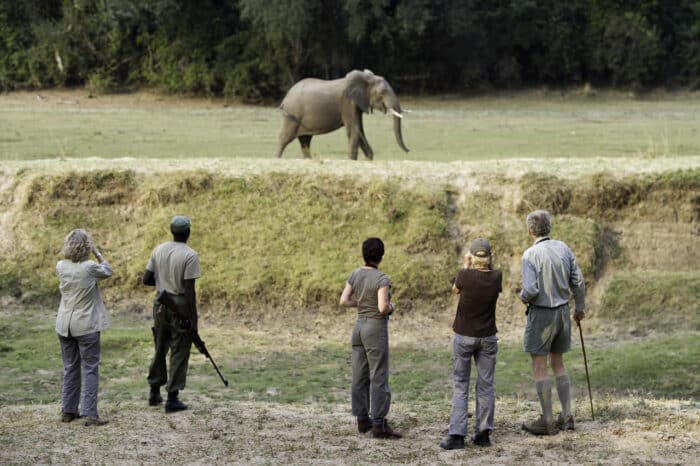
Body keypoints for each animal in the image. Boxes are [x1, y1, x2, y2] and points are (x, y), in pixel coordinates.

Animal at [274, 69, 410, 160]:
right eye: (382, 92)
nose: (408, 151)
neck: (365, 78)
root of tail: (286, 98)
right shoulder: (347, 102)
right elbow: (354, 130)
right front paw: (353, 161)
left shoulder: (356, 104)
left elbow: (359, 130)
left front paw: (369, 159)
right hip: (292, 115)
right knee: (284, 139)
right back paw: (277, 159)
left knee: (305, 141)